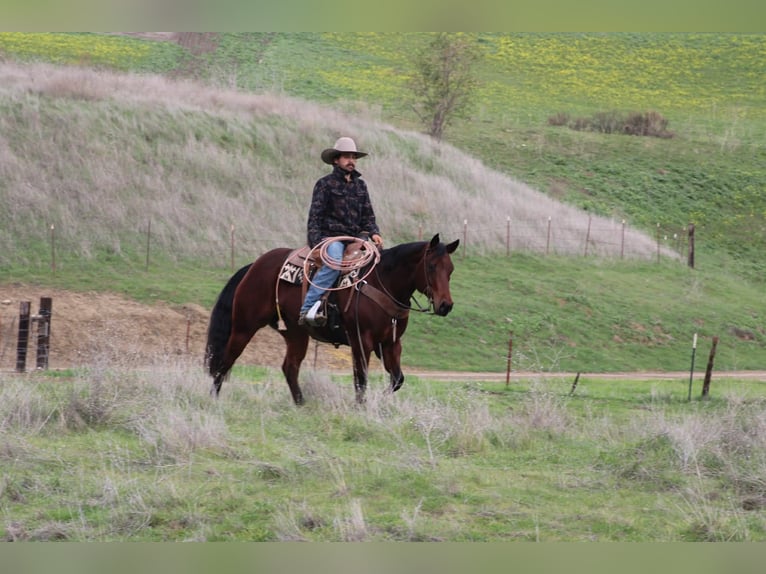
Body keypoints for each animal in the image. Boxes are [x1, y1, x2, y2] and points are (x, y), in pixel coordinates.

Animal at [204, 234, 459, 405]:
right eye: (431, 266)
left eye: (451, 269)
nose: (445, 305)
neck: (381, 282)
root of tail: (253, 266)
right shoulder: (361, 341)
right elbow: (361, 379)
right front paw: (360, 408)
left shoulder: (391, 343)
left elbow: (397, 379)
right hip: (244, 326)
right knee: (225, 360)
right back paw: (214, 399)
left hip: (295, 333)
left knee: (290, 367)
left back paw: (302, 404)